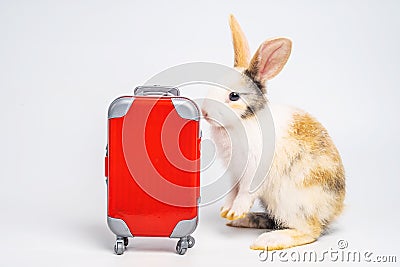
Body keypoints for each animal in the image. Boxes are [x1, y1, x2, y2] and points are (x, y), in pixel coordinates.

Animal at [202, 15, 346, 252]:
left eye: (234, 96)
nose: (205, 112)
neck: (244, 121)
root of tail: (333, 213)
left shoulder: (253, 172)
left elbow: (245, 193)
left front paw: (235, 210)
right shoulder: (234, 173)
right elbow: (232, 191)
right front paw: (227, 211)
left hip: (292, 202)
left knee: (310, 231)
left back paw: (268, 240)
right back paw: (246, 220)